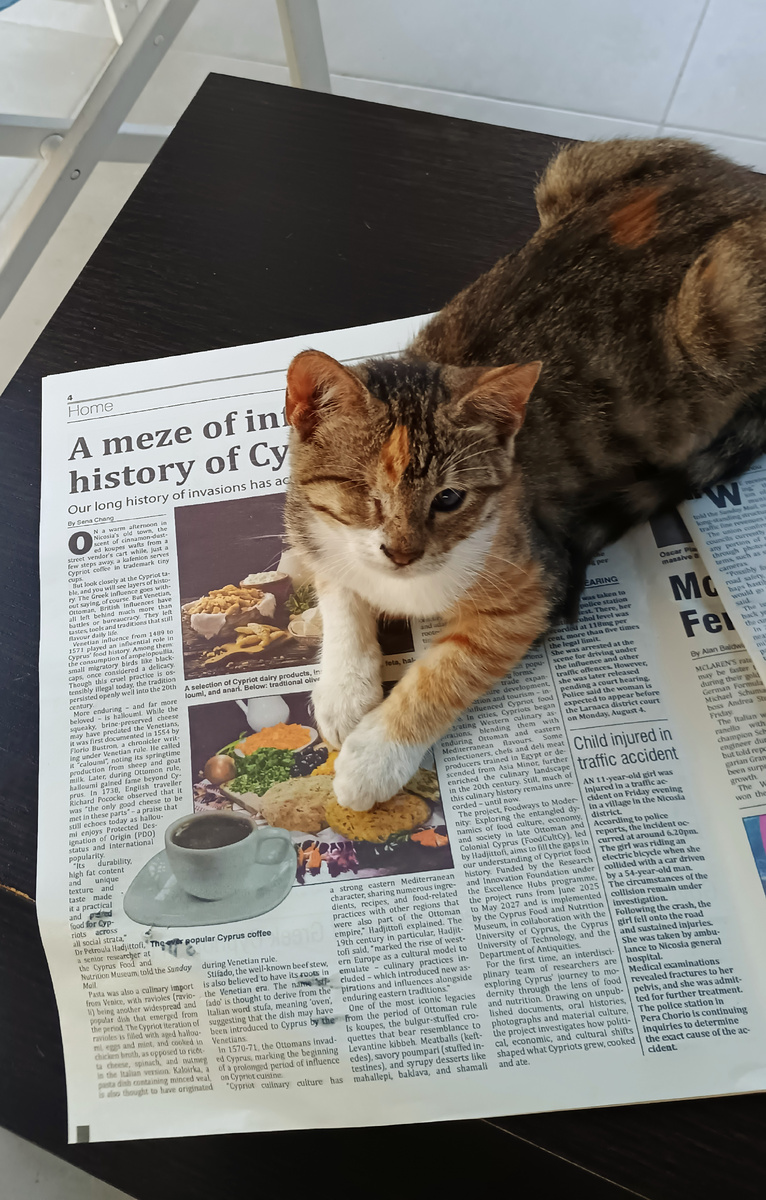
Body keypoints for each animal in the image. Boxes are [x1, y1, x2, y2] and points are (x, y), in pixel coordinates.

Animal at [283, 137, 766, 812]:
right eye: (362, 493)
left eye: (449, 499)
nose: (402, 554)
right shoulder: (316, 527)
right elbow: (339, 591)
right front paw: (343, 689)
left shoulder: (534, 585)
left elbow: (450, 668)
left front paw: (373, 756)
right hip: (574, 169)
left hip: (720, 315)